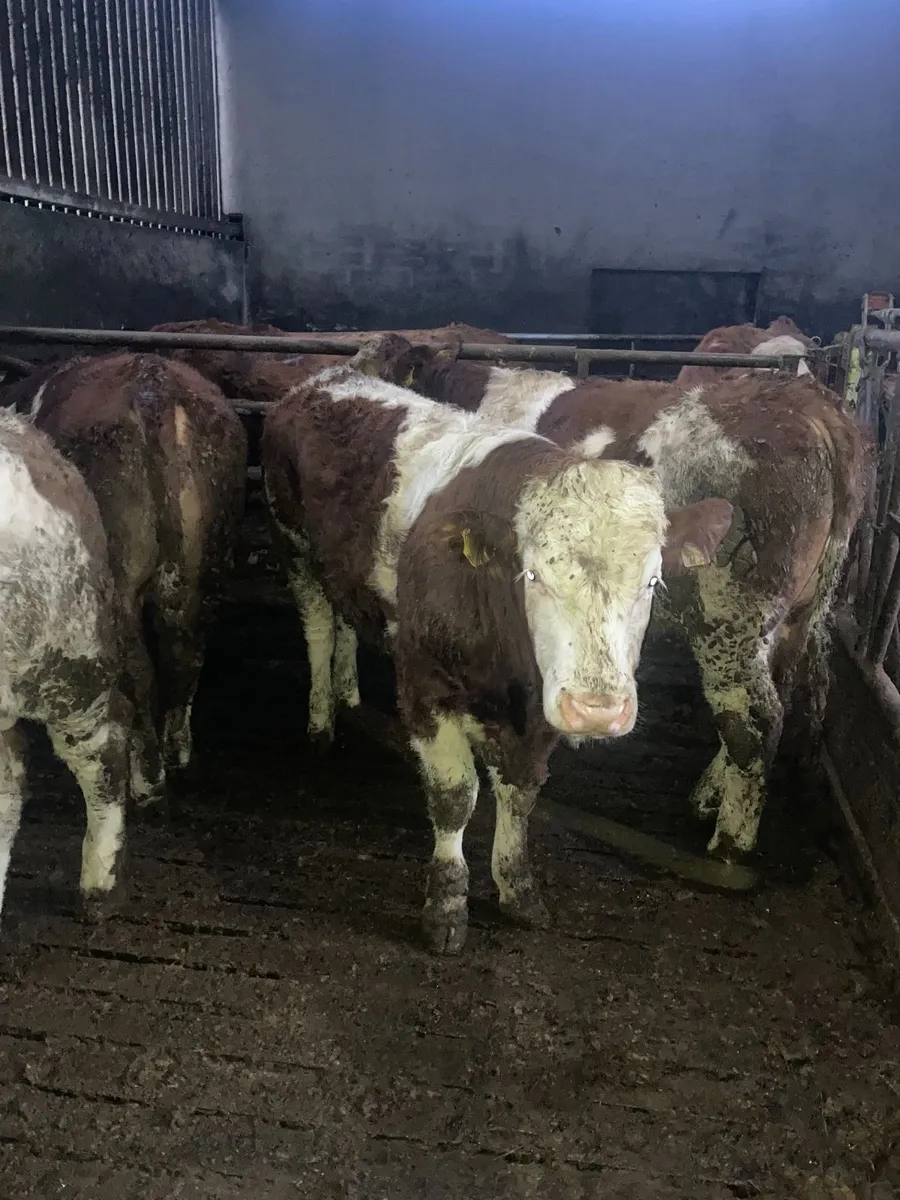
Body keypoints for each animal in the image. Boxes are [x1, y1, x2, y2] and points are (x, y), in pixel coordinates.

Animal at [3, 354, 248, 807]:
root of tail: (154, 394)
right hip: (207, 563)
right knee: (184, 655)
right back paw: (176, 750)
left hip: (119, 581)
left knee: (141, 669)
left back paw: (147, 776)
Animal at [262, 348, 733, 952]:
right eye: (532, 575)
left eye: (653, 582)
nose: (596, 709)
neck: (508, 671)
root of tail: (332, 376)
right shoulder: (425, 687)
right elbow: (455, 797)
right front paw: (445, 907)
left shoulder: (540, 707)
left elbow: (521, 792)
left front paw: (517, 889)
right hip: (292, 543)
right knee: (319, 627)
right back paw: (321, 722)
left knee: (343, 620)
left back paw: (347, 695)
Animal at [352, 334, 871, 862]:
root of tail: (812, 406)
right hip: (792, 618)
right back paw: (710, 793)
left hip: (732, 618)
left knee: (756, 719)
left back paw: (730, 839)